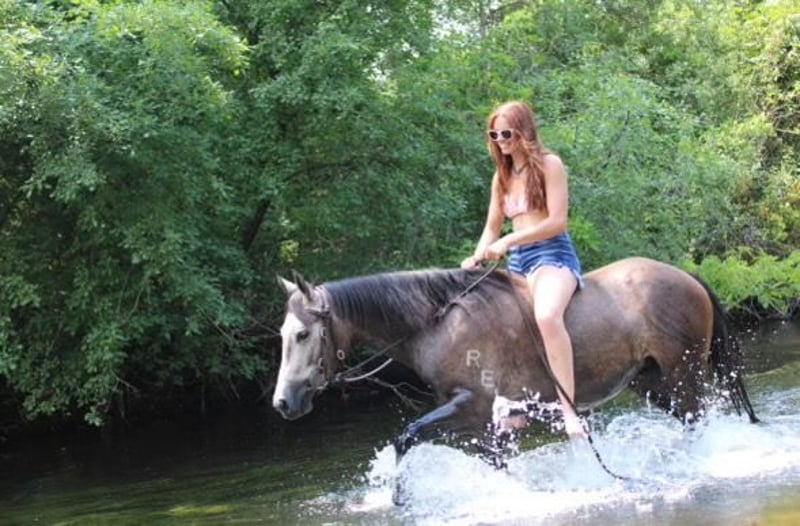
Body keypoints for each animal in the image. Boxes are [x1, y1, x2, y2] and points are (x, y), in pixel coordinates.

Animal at [272, 257, 759, 465]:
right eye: (281, 335)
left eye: (302, 334)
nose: (282, 403)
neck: (436, 323)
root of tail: (687, 276)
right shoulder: (482, 418)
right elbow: (492, 459)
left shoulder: (471, 404)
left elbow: (406, 437)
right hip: (652, 382)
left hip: (683, 374)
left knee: (699, 419)